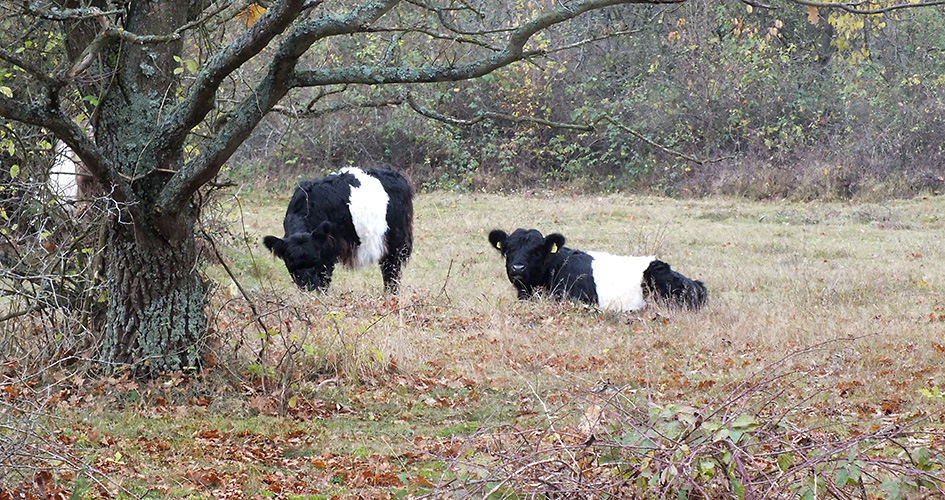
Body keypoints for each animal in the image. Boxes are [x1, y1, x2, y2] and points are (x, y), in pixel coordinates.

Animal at [266, 168, 412, 292]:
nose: (309, 286)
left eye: (315, 259)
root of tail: (394, 173)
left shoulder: (328, 252)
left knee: (391, 269)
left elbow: (324, 279)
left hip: (395, 240)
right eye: (291, 263)